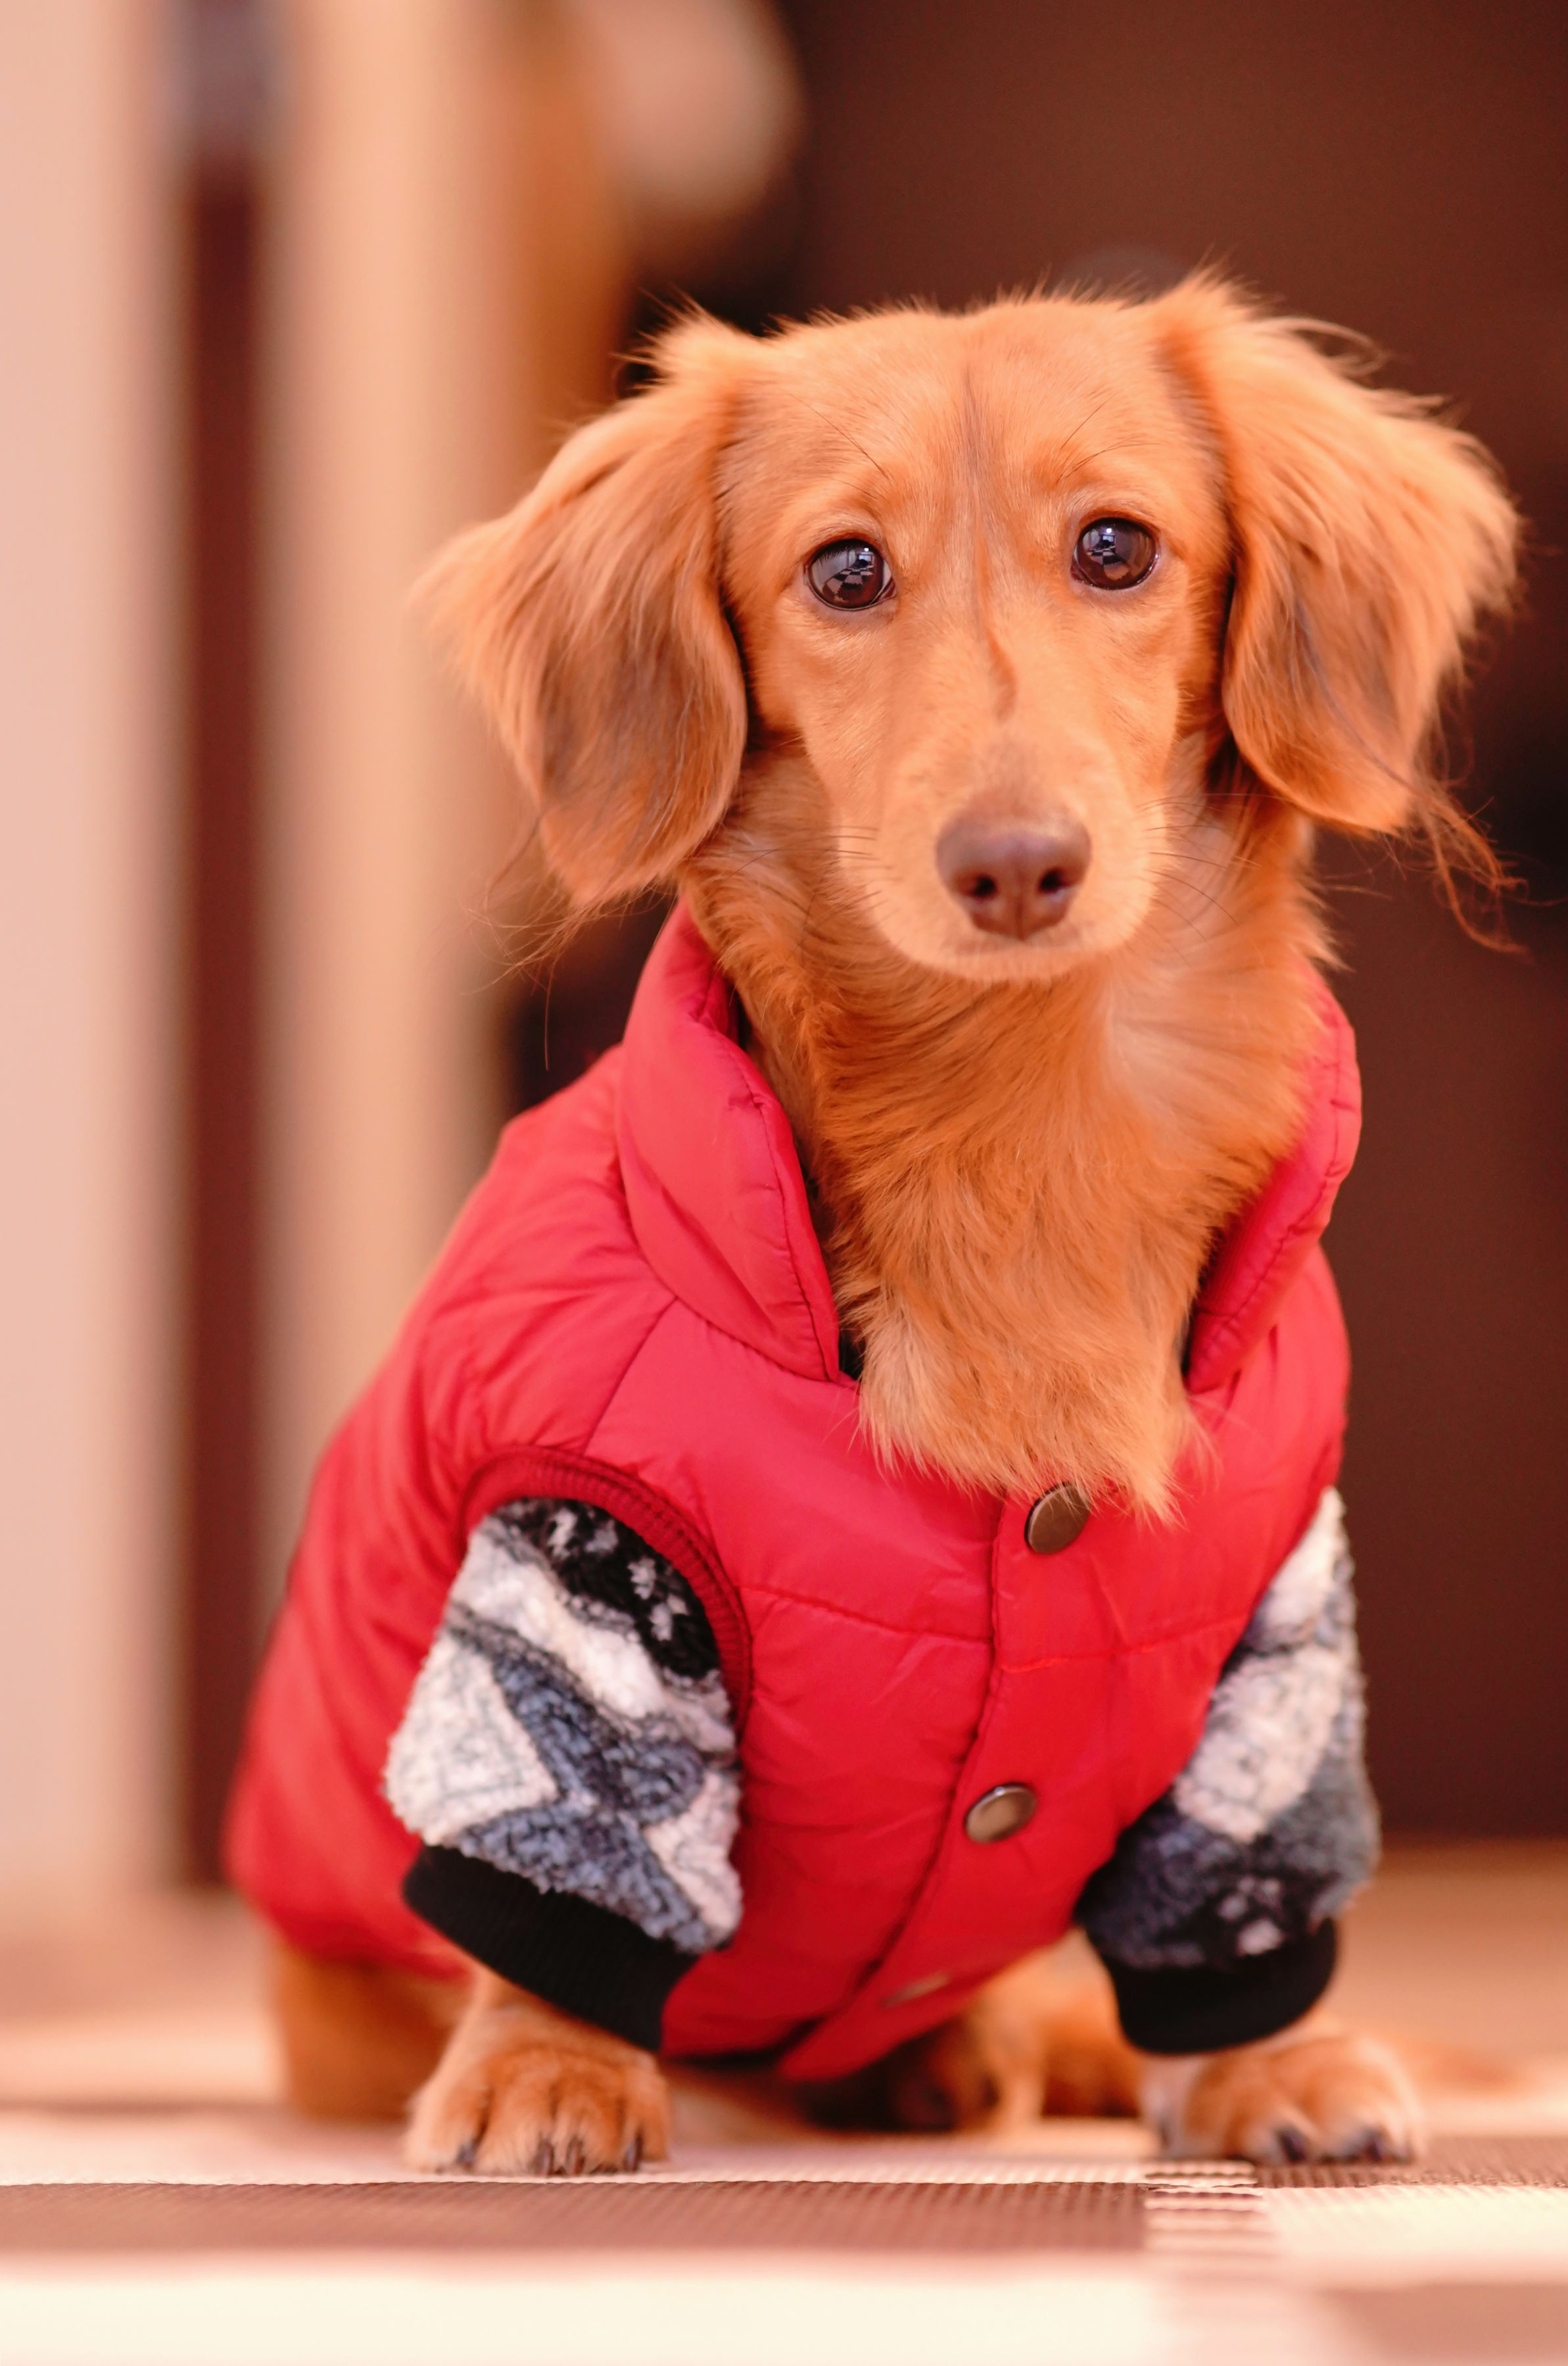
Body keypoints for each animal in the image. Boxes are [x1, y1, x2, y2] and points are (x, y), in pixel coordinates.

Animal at [231, 277, 1516, 2174]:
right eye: (844, 571)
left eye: (1119, 546)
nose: (1016, 862)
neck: (1016, 1118)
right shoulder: (585, 1562)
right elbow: (565, 1869)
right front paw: (550, 2061)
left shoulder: (1275, 1630)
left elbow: (1231, 1894)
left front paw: (1262, 2059)